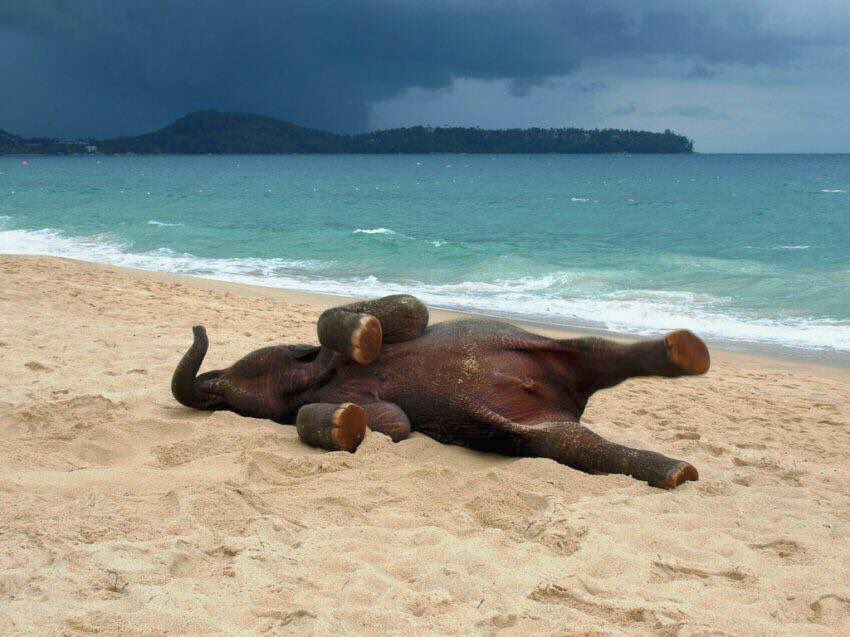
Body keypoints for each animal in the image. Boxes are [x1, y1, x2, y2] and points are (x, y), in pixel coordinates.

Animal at [171, 294, 710, 489]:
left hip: (536, 345)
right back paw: (676, 472)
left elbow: (413, 310)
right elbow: (393, 424)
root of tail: (569, 402)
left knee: (593, 349)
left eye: (232, 384)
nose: (197, 326)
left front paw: (363, 334)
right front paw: (348, 420)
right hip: (535, 428)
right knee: (569, 441)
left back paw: (686, 352)